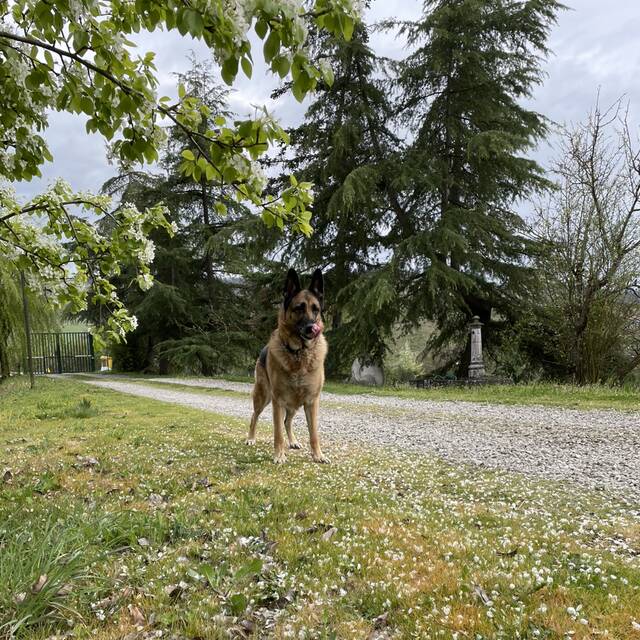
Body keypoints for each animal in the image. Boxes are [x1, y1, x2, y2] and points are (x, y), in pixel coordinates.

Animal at [245, 267, 329, 464]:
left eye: (316, 309)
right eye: (299, 308)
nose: (312, 328)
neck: (298, 354)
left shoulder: (311, 401)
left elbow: (314, 433)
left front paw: (318, 455)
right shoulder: (278, 401)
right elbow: (277, 433)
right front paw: (279, 455)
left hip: (294, 402)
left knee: (287, 422)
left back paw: (293, 441)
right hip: (264, 396)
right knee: (254, 416)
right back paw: (251, 438)